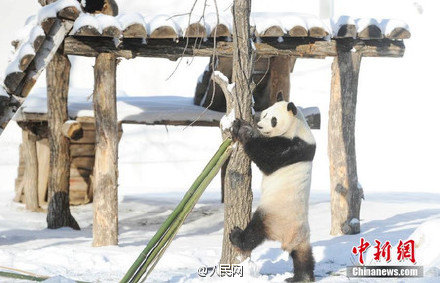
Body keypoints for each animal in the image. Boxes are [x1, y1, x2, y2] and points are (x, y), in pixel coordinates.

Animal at [229, 96, 314, 282]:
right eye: (265, 114)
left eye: (273, 120)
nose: (260, 126)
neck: (297, 127)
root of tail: (288, 238)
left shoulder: (292, 147)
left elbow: (265, 156)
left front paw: (242, 128)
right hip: (299, 234)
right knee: (302, 255)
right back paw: (301, 277)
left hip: (273, 215)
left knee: (255, 231)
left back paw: (237, 236)